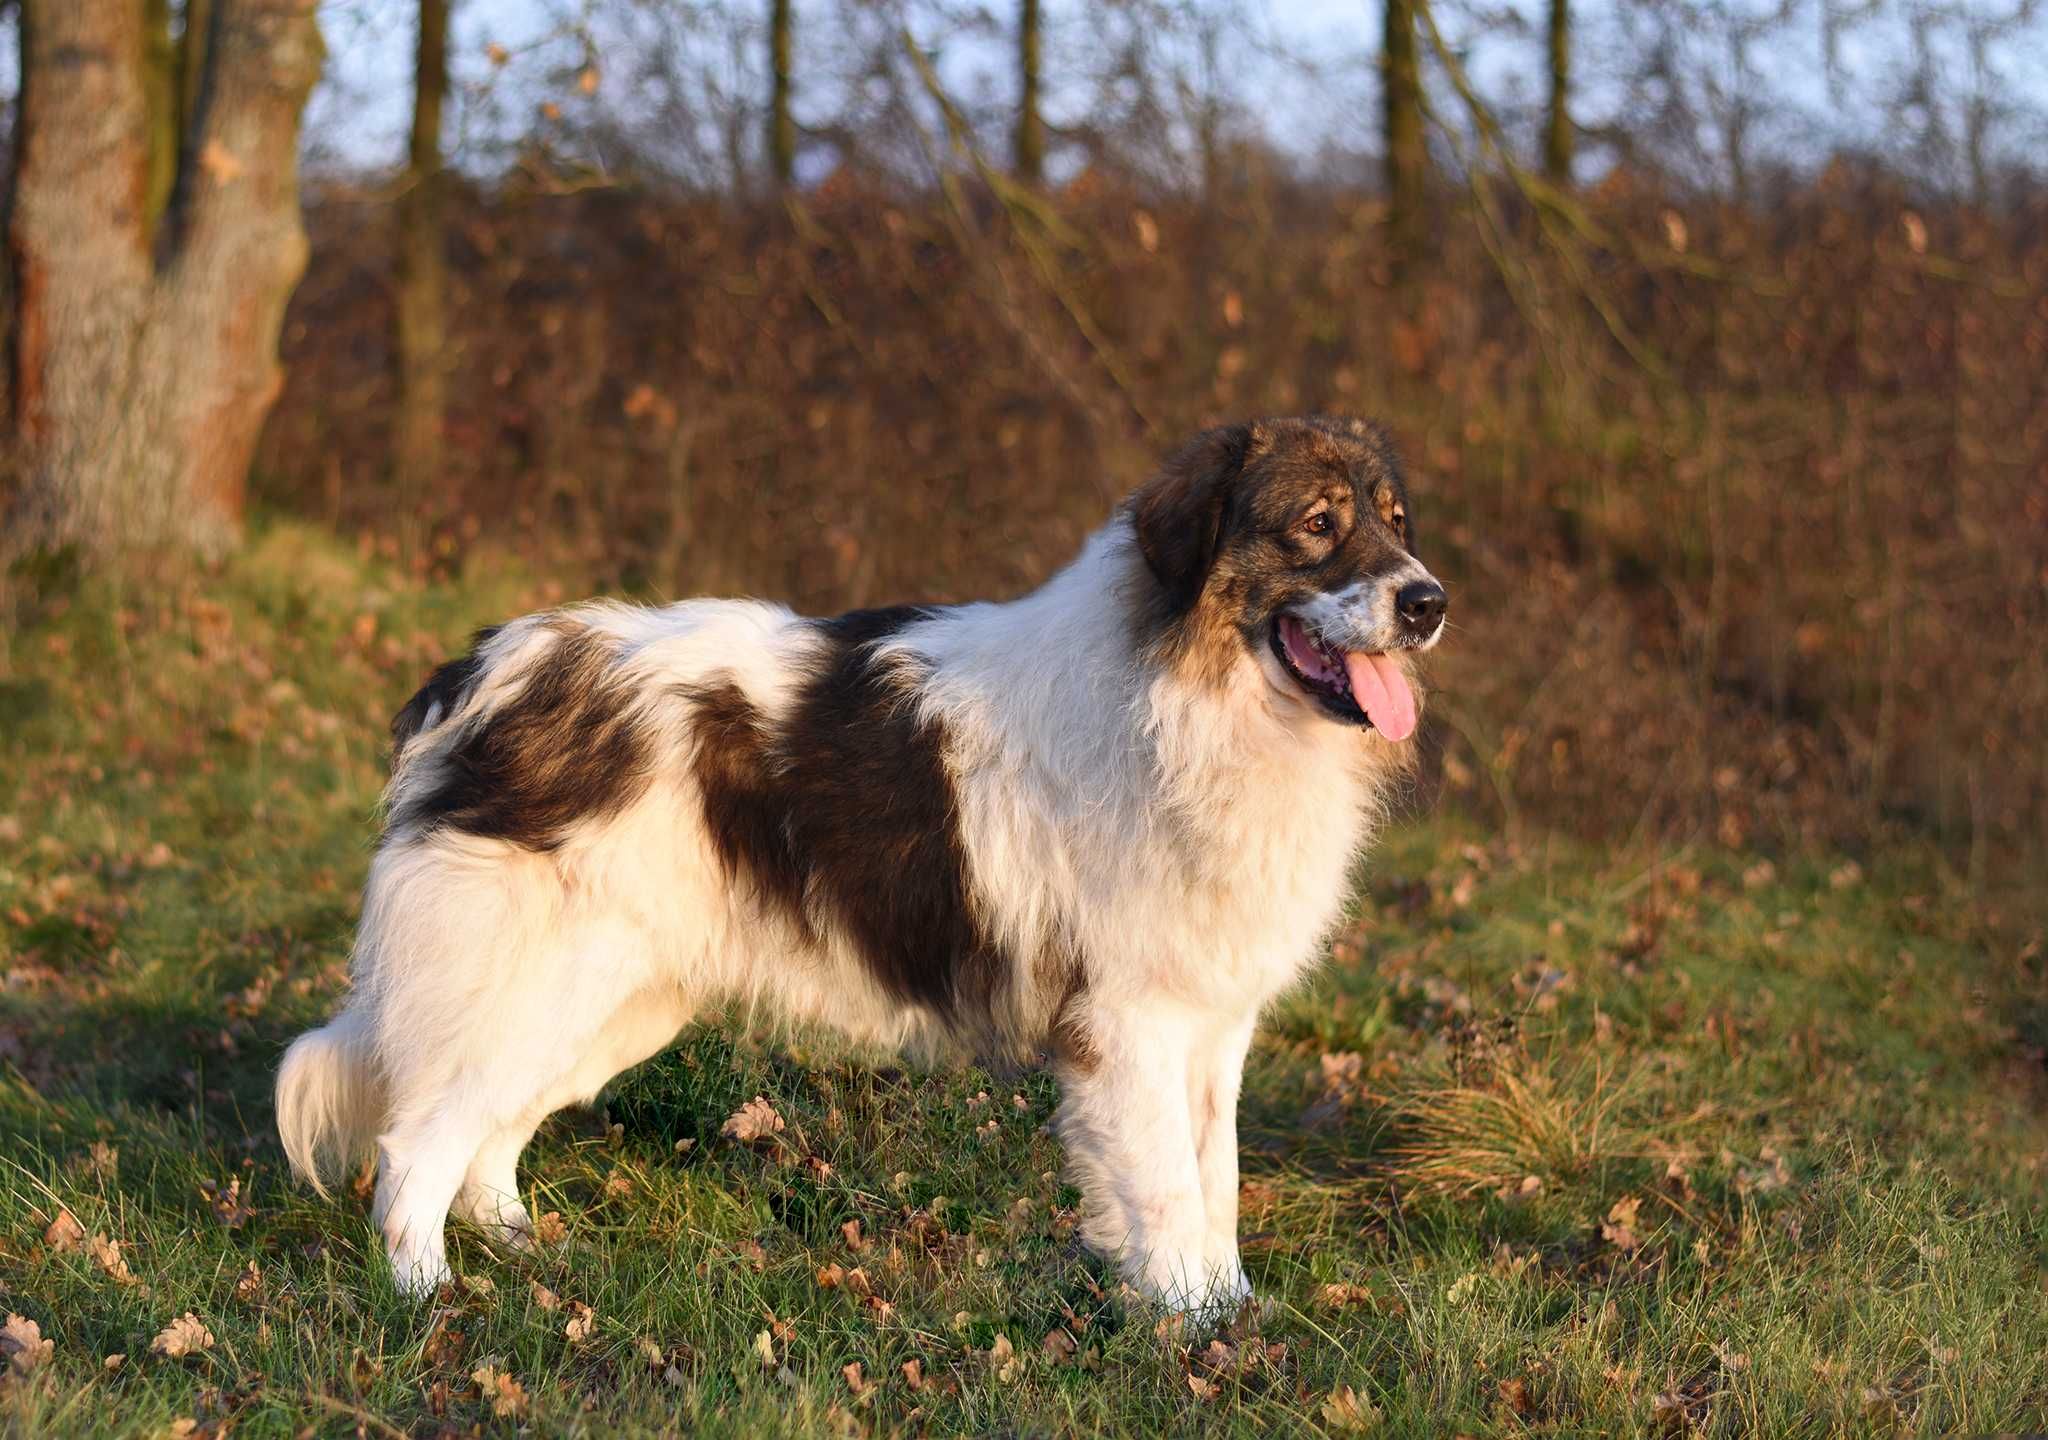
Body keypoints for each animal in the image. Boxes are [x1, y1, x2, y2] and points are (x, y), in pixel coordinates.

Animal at [276, 411, 1458, 1310]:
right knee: (414, 1148)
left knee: (487, 1136)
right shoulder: (1131, 1026)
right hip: (534, 983)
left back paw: (523, 1252)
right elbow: (1167, 1191)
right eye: (1316, 526)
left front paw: (1226, 1310)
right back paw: (430, 1301)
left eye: (1398, 525)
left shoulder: (1213, 1026)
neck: (1185, 692)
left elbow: (1214, 1184)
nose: (1428, 601)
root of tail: (481, 671)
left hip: (606, 1002)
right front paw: (1191, 1336)